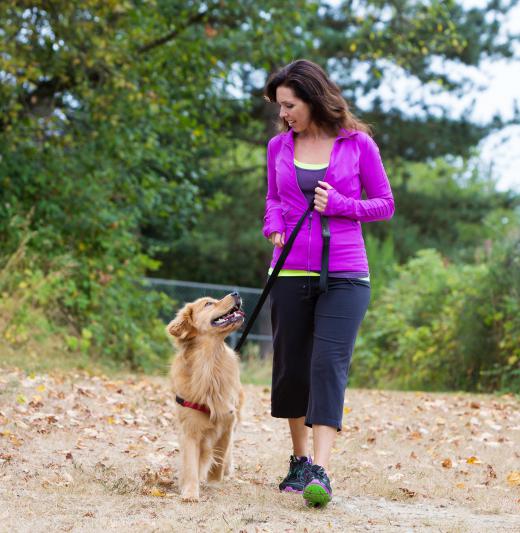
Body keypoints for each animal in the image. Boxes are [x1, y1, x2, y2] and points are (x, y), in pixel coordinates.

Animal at [168, 288, 247, 500]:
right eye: (208, 304)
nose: (236, 292)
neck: (210, 363)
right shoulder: (190, 427)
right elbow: (190, 462)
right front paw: (190, 491)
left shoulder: (227, 420)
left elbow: (220, 453)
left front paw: (213, 480)